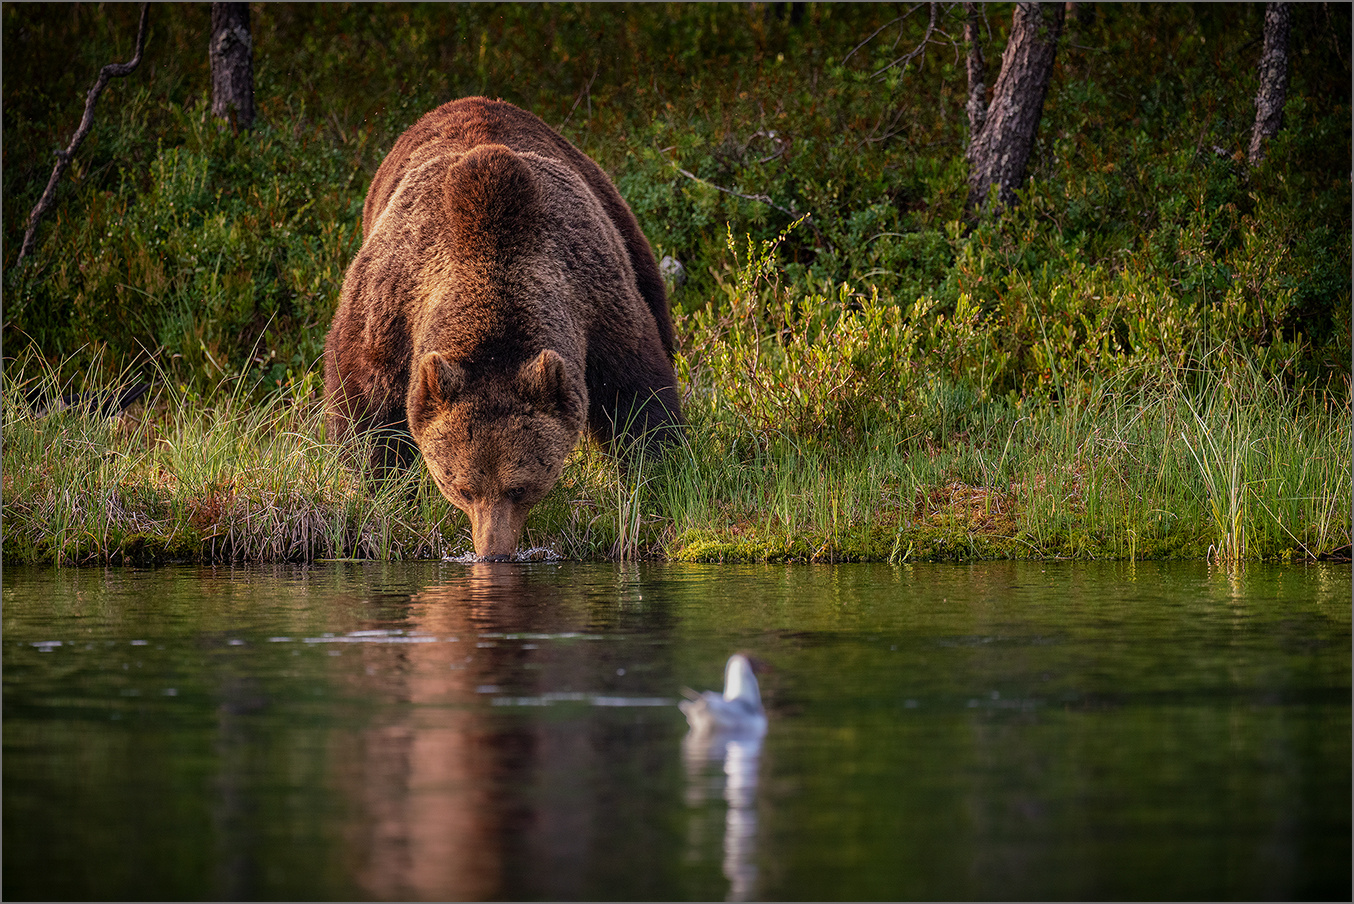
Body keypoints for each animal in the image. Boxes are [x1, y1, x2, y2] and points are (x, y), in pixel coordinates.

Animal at [326, 97, 682, 557]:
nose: (493, 551)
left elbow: (637, 391)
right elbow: (366, 405)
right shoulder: (390, 306)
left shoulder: (595, 299)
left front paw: (659, 473)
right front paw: (379, 487)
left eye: (521, 487)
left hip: (624, 232)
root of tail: (473, 100)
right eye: (461, 487)